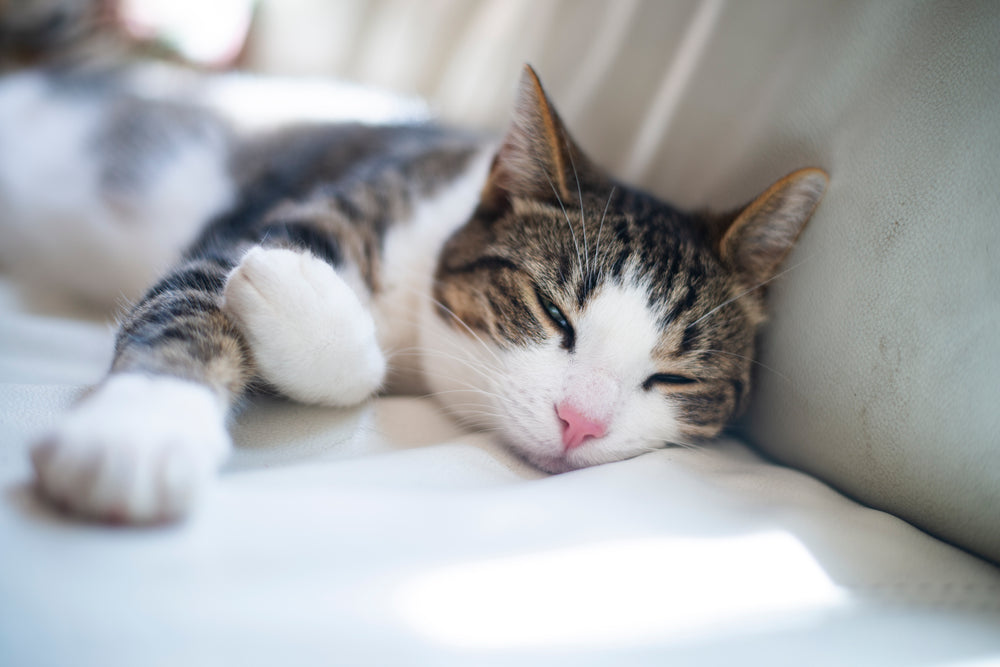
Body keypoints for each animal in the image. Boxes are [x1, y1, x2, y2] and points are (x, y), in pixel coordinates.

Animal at [17, 65, 828, 524]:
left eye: (674, 377)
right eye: (553, 313)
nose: (580, 424)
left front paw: (289, 294)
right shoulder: (264, 225)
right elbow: (196, 299)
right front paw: (137, 428)